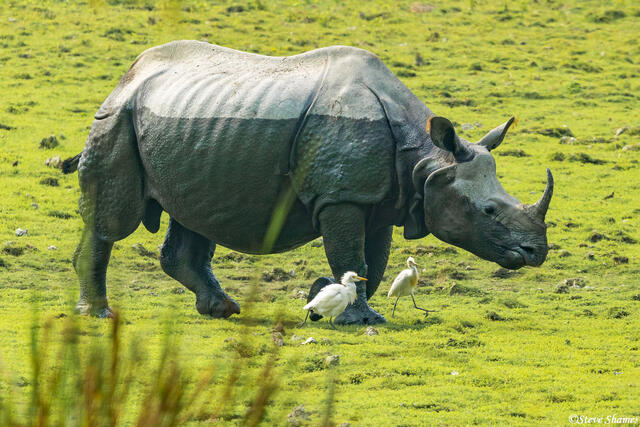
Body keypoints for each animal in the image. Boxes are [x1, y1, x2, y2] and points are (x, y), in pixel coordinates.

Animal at [63, 41, 553, 324]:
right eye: (487, 210)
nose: (536, 253)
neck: (427, 160)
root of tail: (129, 74)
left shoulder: (380, 200)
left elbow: (371, 261)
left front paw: (342, 304)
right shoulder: (342, 196)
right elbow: (351, 254)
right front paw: (359, 319)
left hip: (187, 125)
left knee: (195, 213)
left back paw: (222, 310)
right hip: (117, 115)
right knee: (113, 222)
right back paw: (99, 315)